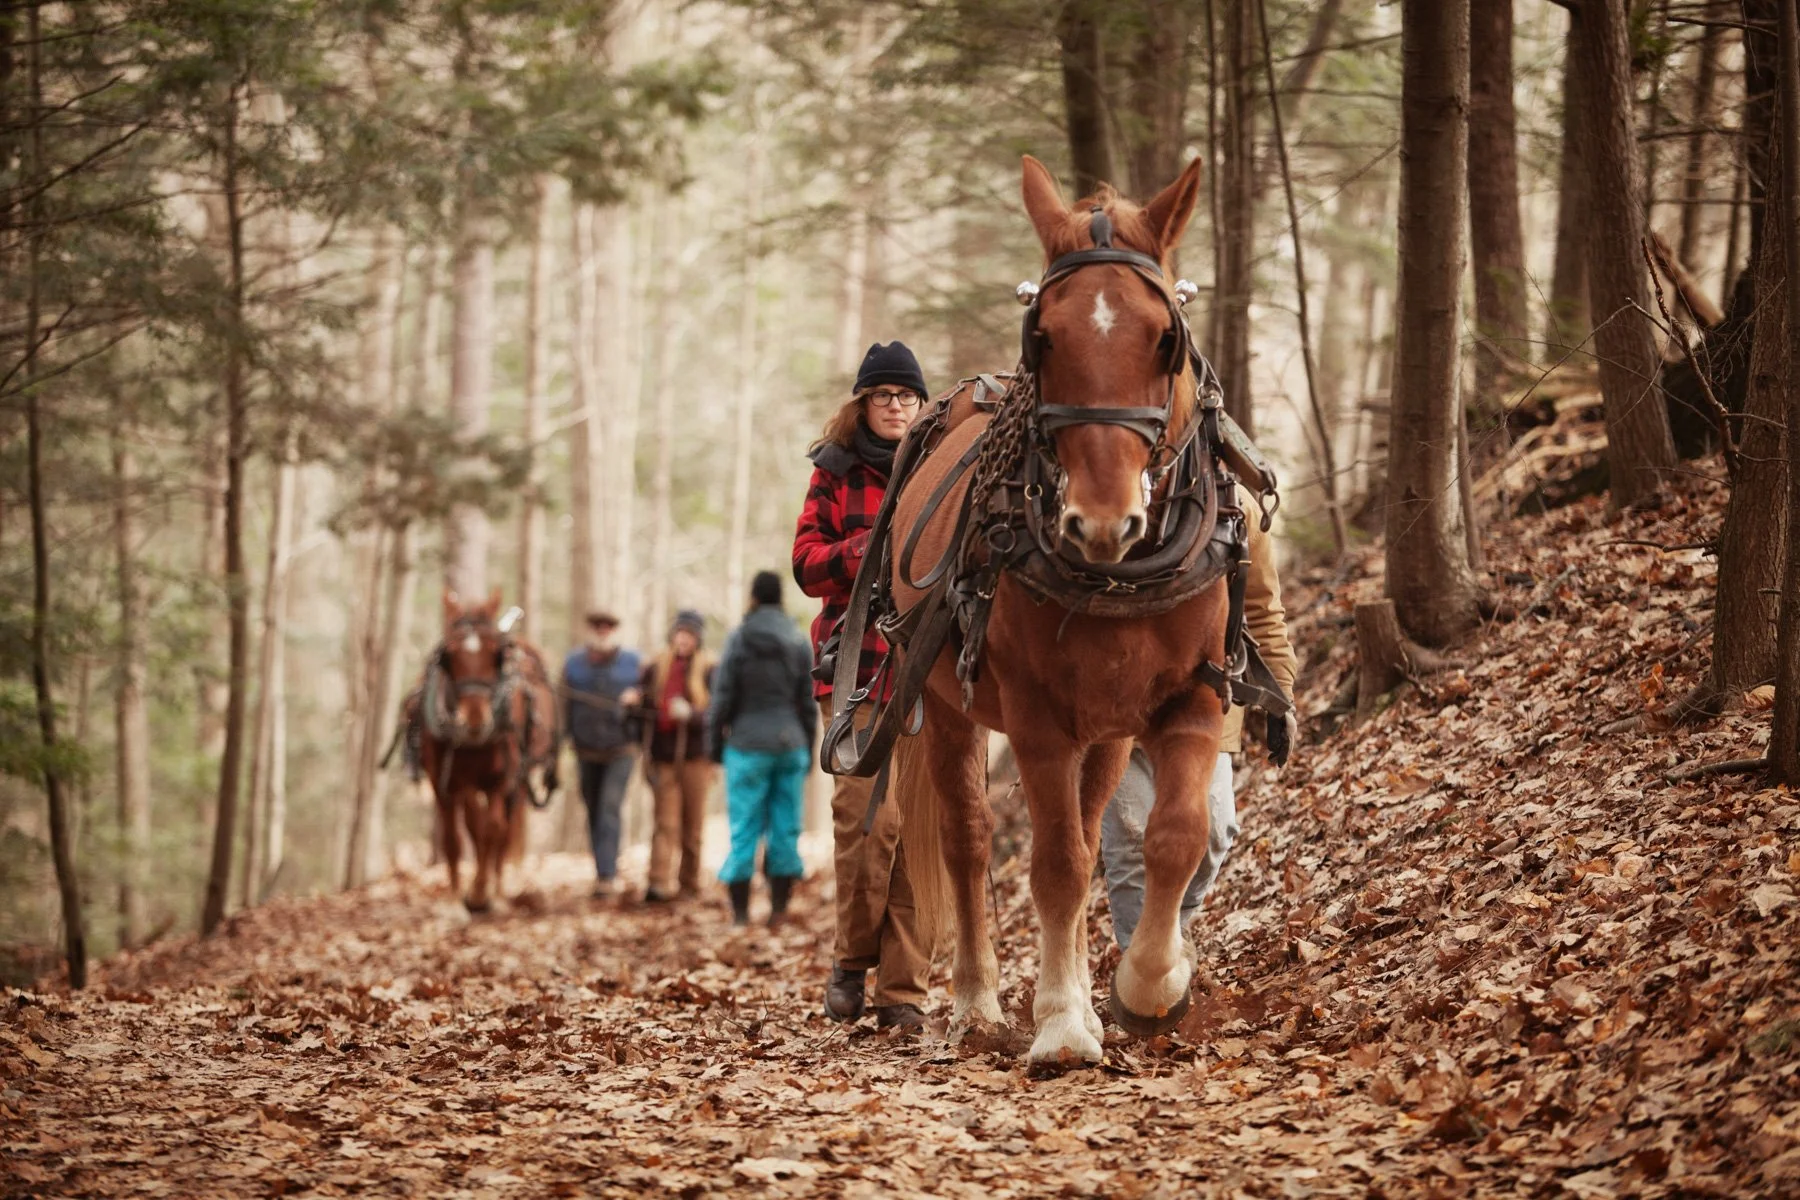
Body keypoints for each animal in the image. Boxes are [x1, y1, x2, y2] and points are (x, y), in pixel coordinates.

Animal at [413, 589, 561, 912]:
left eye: (496, 655)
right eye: (448, 656)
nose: (475, 719)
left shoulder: (503, 778)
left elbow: (492, 829)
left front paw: (481, 893)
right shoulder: (445, 780)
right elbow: (459, 835)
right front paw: (456, 900)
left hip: (520, 778)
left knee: (504, 829)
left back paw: (499, 890)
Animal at [824, 154, 1288, 1067]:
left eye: (1166, 339)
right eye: (1043, 337)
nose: (1100, 521)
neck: (1121, 574)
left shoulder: (1194, 698)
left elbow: (1173, 836)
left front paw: (1148, 986)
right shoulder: (1037, 717)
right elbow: (1058, 865)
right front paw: (1065, 1023)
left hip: (1104, 728)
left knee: (1094, 819)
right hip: (946, 704)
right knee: (971, 841)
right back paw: (977, 1002)